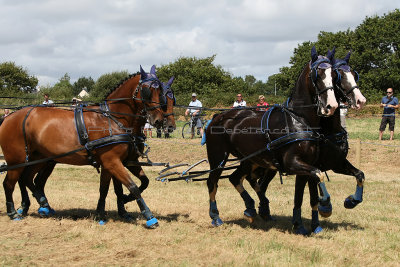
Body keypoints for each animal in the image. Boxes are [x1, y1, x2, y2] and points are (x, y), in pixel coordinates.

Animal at [0, 67, 165, 228]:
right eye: (147, 91)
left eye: (161, 91)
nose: (159, 120)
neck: (112, 119)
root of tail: (8, 117)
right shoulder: (112, 161)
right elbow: (133, 186)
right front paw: (149, 216)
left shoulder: (112, 162)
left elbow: (107, 188)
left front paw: (102, 214)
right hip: (17, 160)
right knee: (9, 183)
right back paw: (13, 212)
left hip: (40, 158)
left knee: (27, 179)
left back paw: (43, 205)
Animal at [203, 47, 338, 227]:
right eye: (318, 74)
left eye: (334, 75)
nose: (331, 106)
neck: (298, 119)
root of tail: (217, 116)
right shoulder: (292, 163)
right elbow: (319, 174)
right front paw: (326, 206)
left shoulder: (308, 162)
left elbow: (313, 183)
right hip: (218, 157)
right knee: (212, 182)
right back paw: (215, 216)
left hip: (249, 159)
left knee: (236, 178)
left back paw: (253, 208)